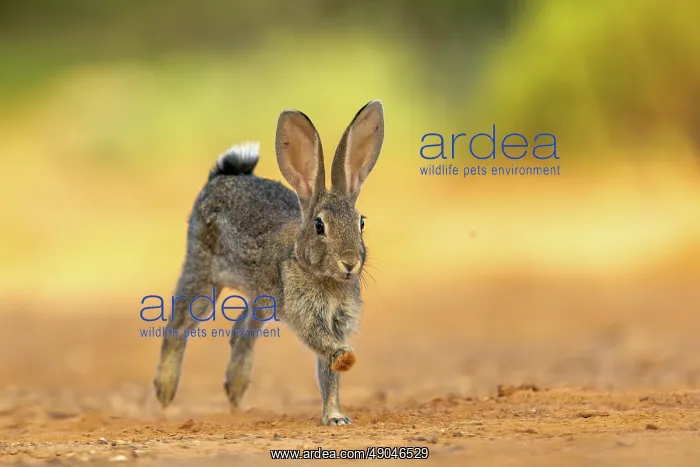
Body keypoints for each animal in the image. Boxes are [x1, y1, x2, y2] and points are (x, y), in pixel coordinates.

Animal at [153, 100, 384, 426]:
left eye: (360, 222)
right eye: (319, 226)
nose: (349, 262)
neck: (314, 270)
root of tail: (221, 177)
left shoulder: (337, 321)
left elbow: (328, 375)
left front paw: (335, 417)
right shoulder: (306, 315)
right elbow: (323, 345)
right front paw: (345, 357)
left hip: (261, 297)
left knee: (241, 331)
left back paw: (235, 393)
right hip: (203, 274)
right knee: (177, 325)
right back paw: (165, 393)